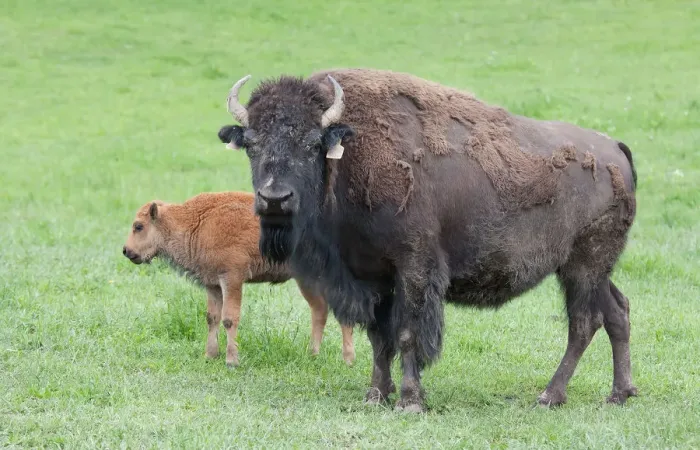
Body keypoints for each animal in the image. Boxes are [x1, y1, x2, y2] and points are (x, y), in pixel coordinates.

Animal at [122, 191, 356, 367]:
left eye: (139, 226)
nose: (126, 251)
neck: (196, 222)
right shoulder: (213, 284)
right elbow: (212, 317)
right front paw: (210, 355)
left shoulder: (232, 278)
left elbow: (229, 318)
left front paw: (231, 360)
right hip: (307, 280)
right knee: (319, 310)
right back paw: (312, 354)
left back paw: (348, 360)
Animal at [216, 69, 638, 412]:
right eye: (251, 144)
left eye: (311, 143)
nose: (274, 198)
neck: (348, 155)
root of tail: (615, 148)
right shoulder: (371, 276)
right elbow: (379, 338)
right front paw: (375, 396)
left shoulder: (414, 269)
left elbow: (407, 334)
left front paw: (410, 401)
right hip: (591, 270)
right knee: (617, 312)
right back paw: (619, 394)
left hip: (583, 266)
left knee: (584, 322)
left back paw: (550, 396)